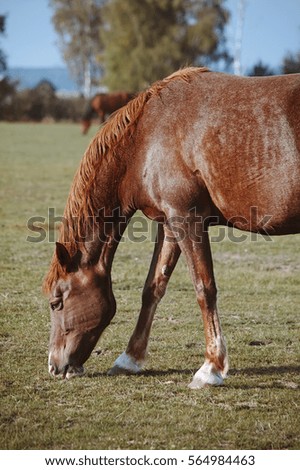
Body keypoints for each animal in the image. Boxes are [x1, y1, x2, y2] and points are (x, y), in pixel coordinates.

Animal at [44, 68, 300, 388]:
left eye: (57, 302)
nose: (54, 366)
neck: (145, 139)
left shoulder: (186, 219)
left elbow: (204, 288)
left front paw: (211, 368)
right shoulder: (168, 223)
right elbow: (153, 286)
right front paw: (129, 359)